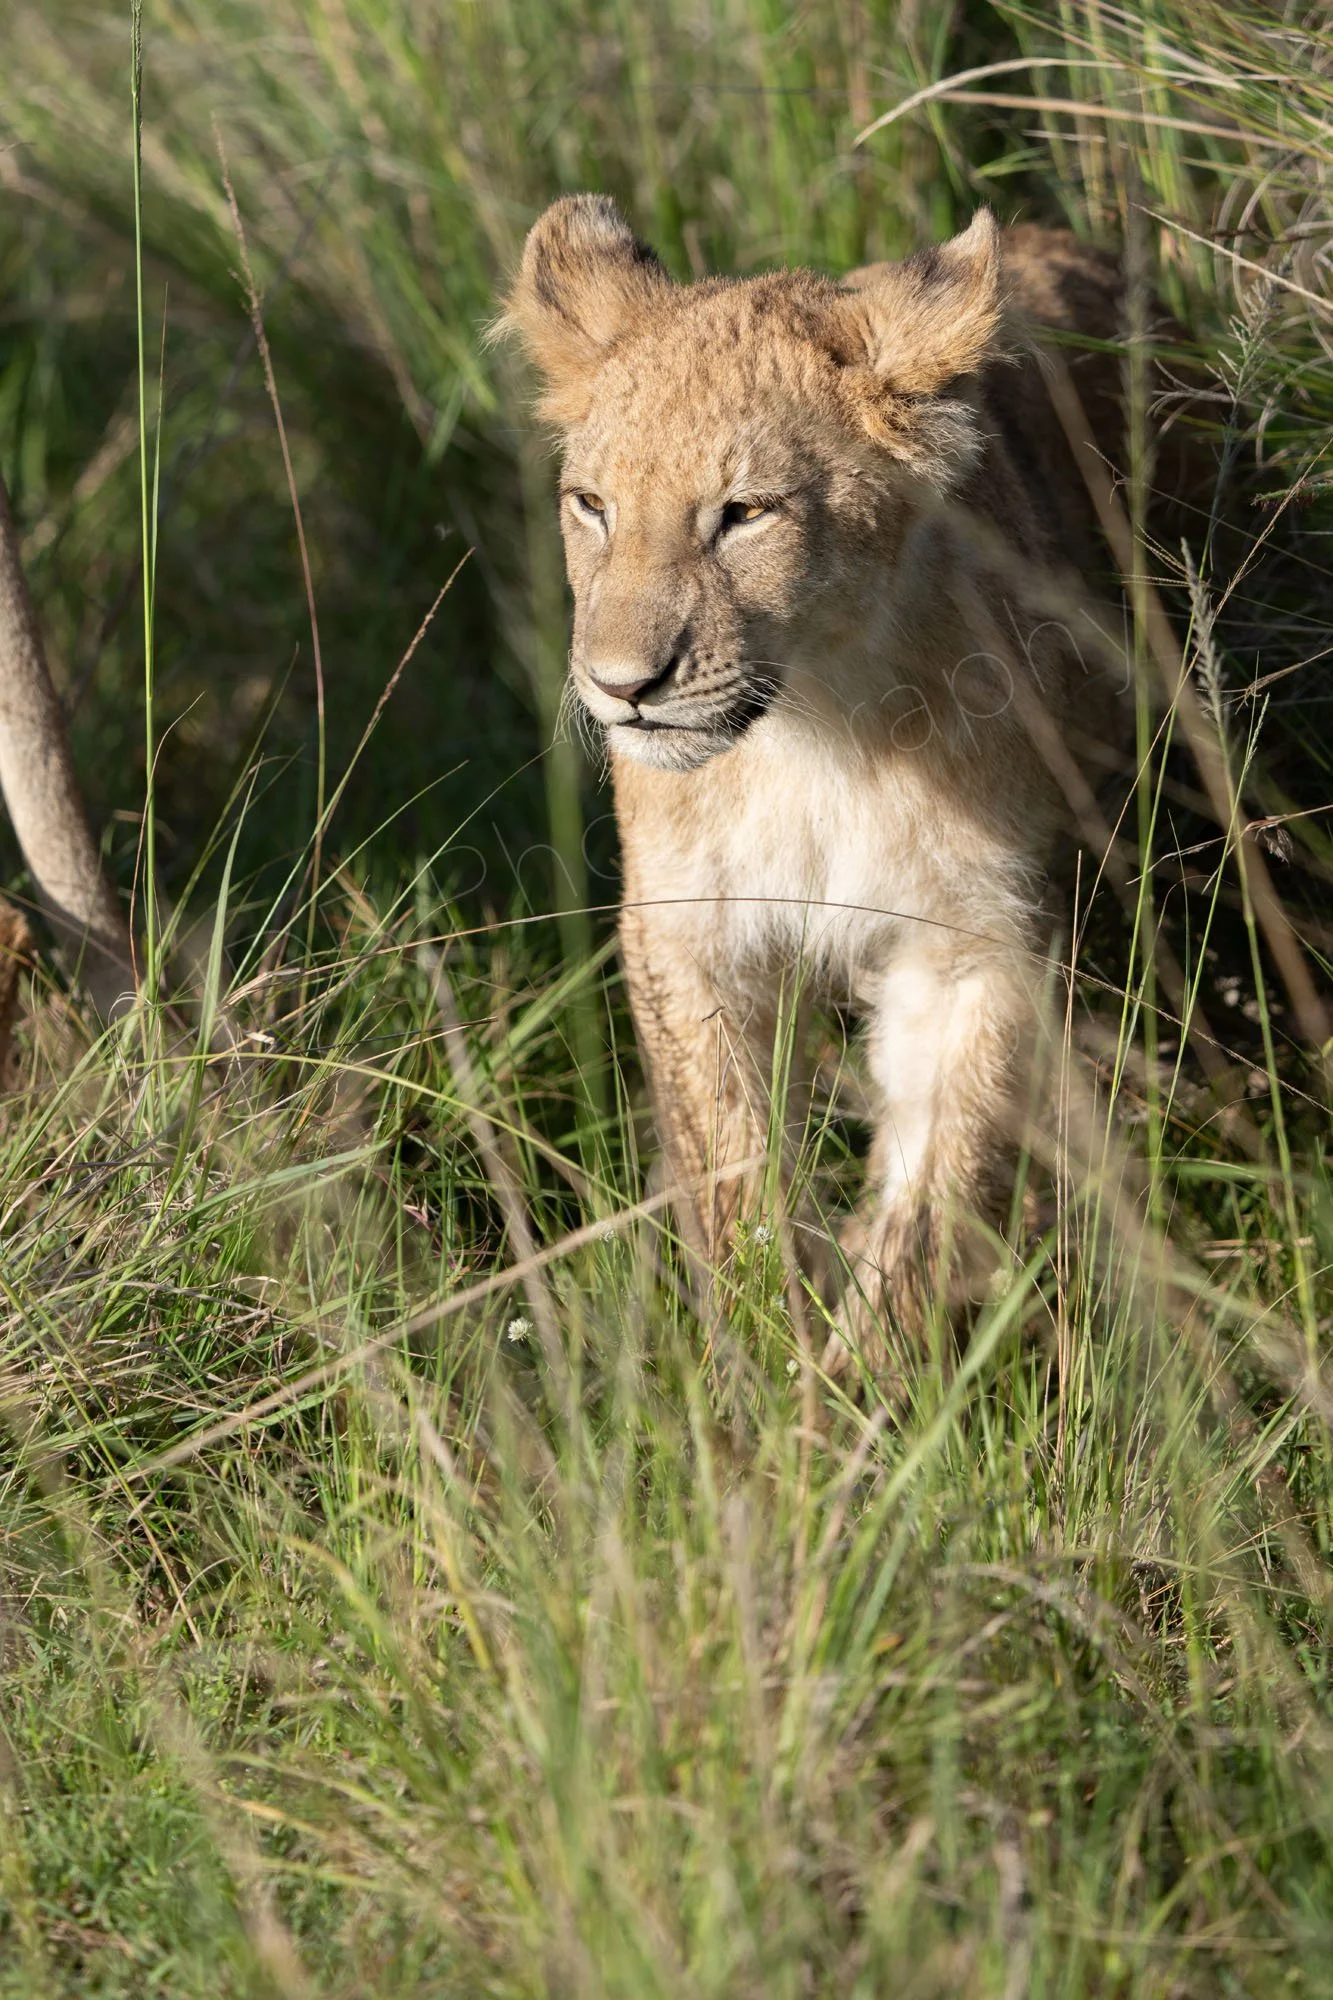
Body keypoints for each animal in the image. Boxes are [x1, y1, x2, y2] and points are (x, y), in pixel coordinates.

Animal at [505, 193, 1163, 1365]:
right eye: (591, 504)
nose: (622, 688)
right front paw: (763, 1357)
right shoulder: (687, 928)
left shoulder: (972, 939)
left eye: (743, 513)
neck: (815, 735)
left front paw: (870, 1382)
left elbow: (938, 1179)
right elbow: (733, 1165)